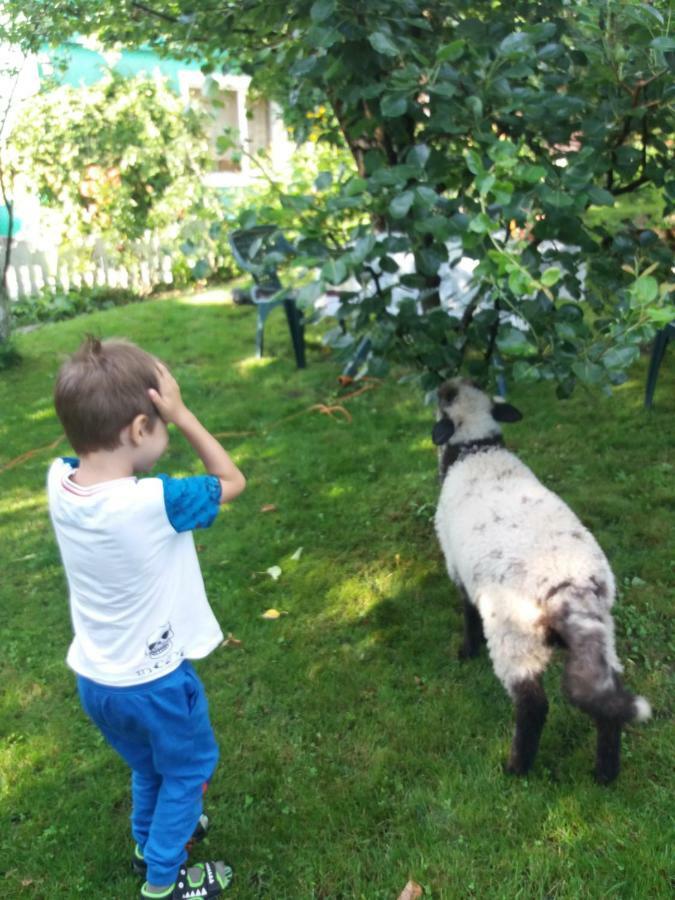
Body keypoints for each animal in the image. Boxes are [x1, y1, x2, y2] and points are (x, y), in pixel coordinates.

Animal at [434, 376, 648, 784]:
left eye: (446, 397)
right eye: (470, 382)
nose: (442, 383)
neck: (477, 450)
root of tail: (570, 588)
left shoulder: (458, 569)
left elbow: (467, 615)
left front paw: (465, 652)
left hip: (515, 639)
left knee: (533, 706)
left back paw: (516, 768)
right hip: (601, 637)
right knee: (607, 702)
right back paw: (605, 775)